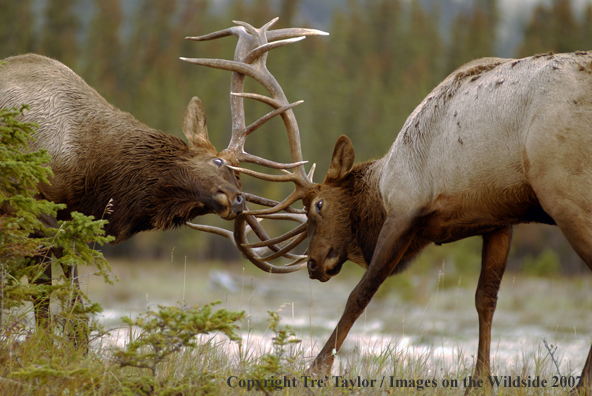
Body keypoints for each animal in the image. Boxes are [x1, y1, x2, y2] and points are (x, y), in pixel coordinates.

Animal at [224, 50, 592, 392]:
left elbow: (360, 294)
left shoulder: (404, 209)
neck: (383, 183)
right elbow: (485, 300)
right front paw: (479, 382)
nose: (313, 264)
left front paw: (316, 370)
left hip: (567, 196)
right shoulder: (499, 221)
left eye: (318, 205)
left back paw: (580, 385)